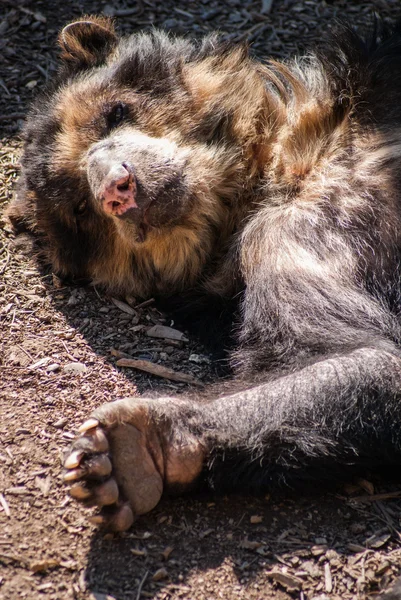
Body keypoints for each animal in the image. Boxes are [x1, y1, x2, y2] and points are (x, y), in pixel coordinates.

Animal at [7, 15, 401, 528]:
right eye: (79, 209)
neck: (279, 165)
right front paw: (136, 448)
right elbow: (363, 358)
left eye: (115, 112)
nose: (117, 187)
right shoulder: (282, 244)